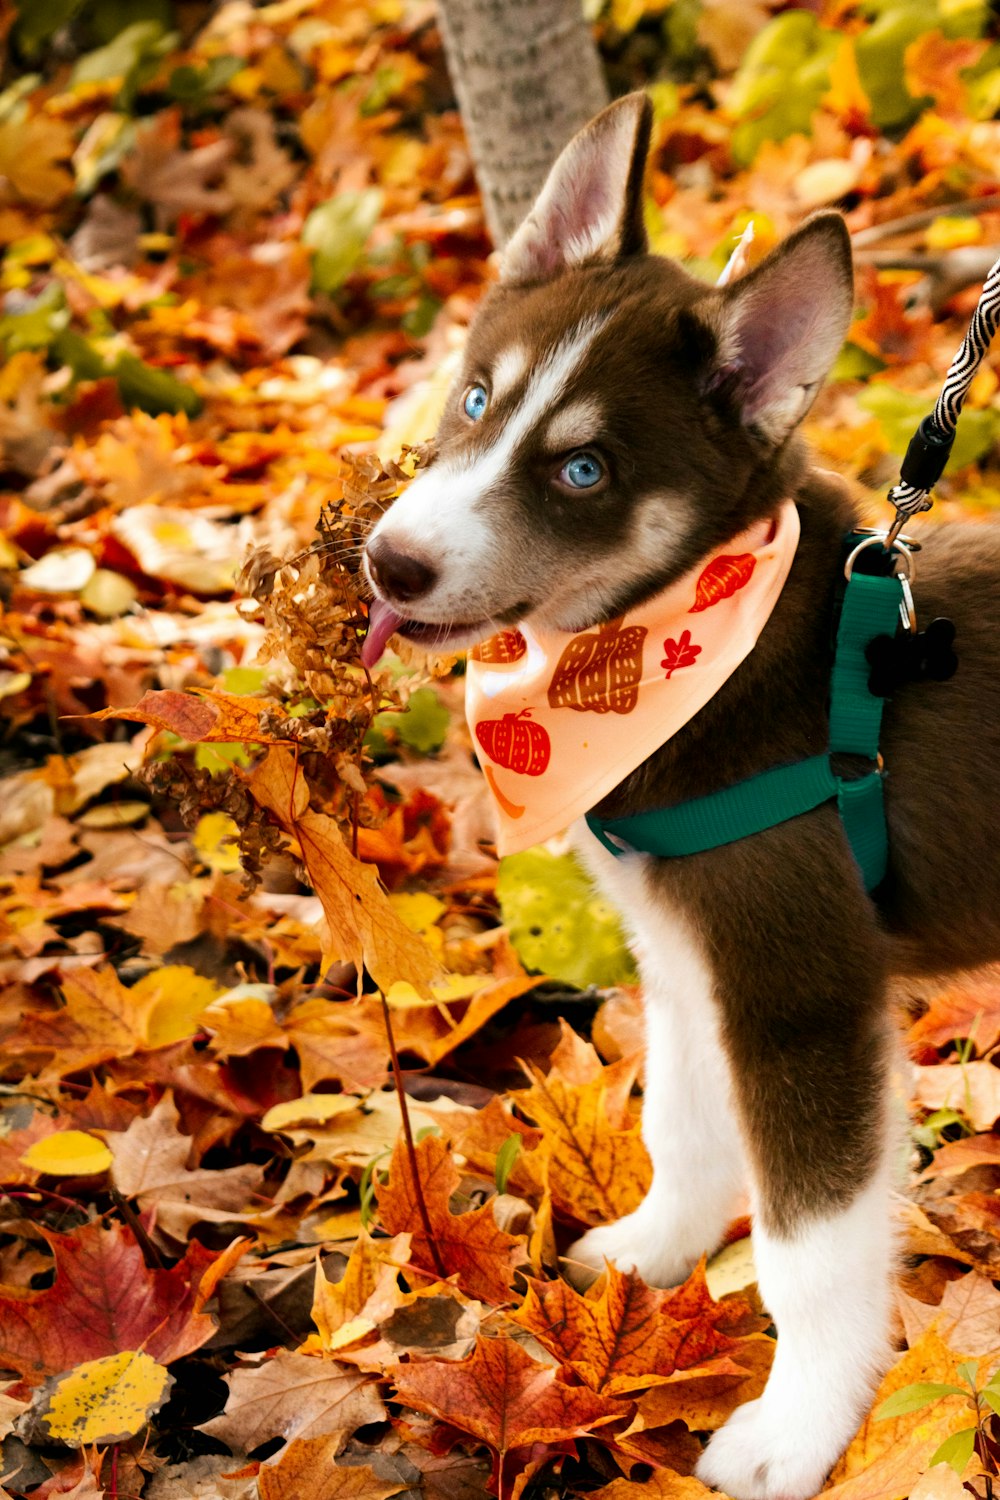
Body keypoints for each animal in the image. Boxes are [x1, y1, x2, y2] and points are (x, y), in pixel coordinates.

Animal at [359, 96, 1000, 1500]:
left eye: (584, 472)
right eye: (476, 395)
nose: (389, 559)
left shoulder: (799, 991)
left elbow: (808, 1248)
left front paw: (797, 1428)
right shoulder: (681, 946)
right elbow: (685, 1121)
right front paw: (657, 1250)